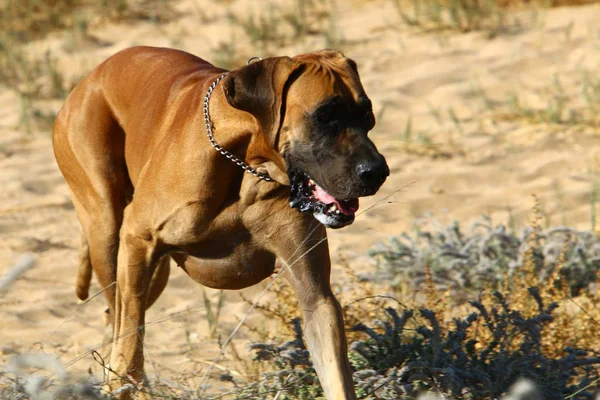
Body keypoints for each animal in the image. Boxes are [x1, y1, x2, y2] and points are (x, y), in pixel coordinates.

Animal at [52, 45, 390, 398]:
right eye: (324, 116)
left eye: (367, 115)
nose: (378, 172)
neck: (247, 163)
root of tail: (88, 80)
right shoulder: (138, 240)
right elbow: (130, 345)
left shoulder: (315, 295)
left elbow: (335, 371)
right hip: (108, 239)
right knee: (120, 321)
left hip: (149, 274)